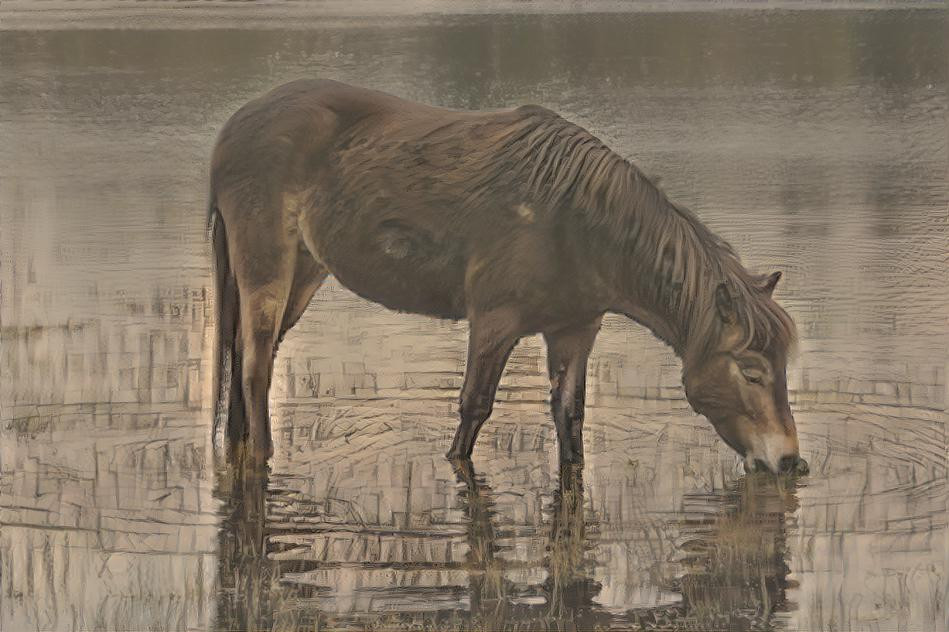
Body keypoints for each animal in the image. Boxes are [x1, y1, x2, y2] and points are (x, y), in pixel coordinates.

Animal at [207, 78, 808, 474]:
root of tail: (234, 124)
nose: (789, 461)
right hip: (268, 268)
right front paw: (454, 460)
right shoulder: (494, 322)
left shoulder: (574, 331)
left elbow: (570, 419)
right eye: (752, 371)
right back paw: (264, 453)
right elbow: (474, 409)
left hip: (305, 274)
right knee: (255, 365)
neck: (578, 220)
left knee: (249, 356)